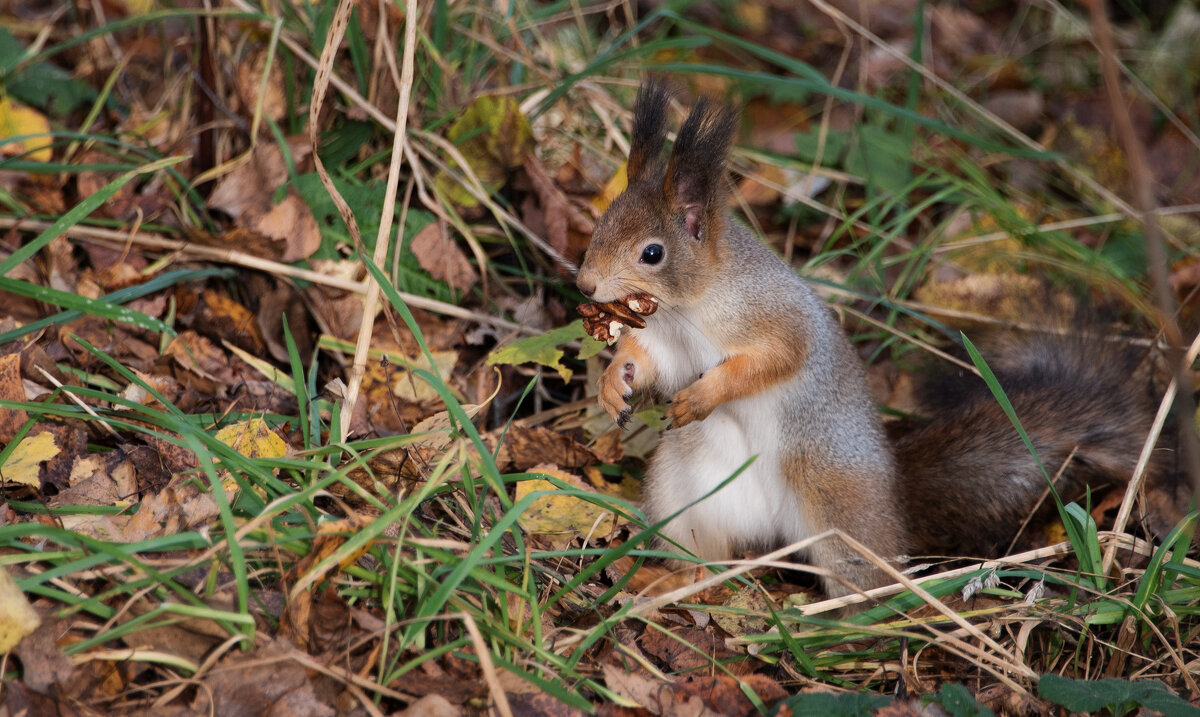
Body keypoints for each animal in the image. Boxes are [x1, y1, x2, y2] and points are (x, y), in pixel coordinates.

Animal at [573, 81, 1171, 601]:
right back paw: (670, 581)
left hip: (839, 505)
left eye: (653, 253)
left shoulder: (776, 320)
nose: (584, 285)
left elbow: (770, 362)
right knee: (706, 557)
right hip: (686, 496)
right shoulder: (667, 342)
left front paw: (704, 394)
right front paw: (614, 383)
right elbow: (648, 361)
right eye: (600, 223)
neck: (687, 310)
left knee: (864, 577)